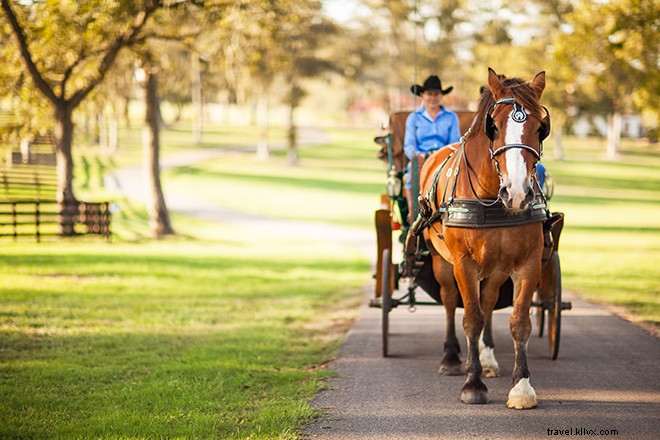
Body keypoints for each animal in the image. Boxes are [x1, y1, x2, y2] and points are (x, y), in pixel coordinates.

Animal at [418, 69, 552, 410]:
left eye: (540, 128)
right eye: (494, 126)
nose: (517, 193)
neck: (494, 200)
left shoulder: (528, 263)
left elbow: (519, 321)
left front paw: (521, 387)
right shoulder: (463, 263)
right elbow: (471, 318)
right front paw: (472, 383)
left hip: (497, 267)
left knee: (489, 300)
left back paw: (488, 357)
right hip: (442, 262)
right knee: (451, 301)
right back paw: (452, 358)